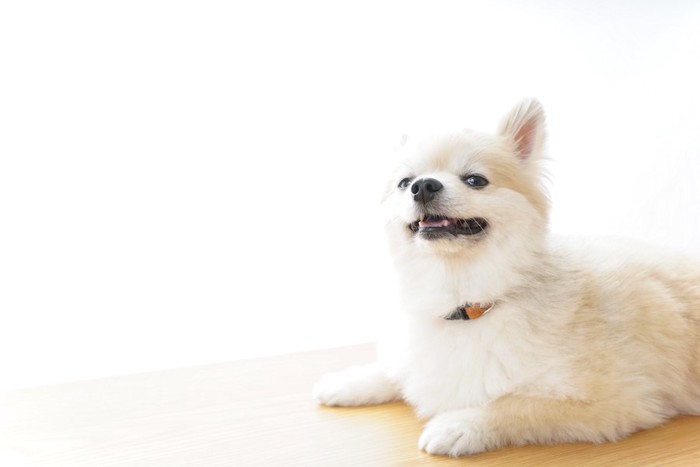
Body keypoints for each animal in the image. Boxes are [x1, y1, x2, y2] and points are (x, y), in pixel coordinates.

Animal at [314, 99, 700, 458]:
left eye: (475, 180)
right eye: (404, 183)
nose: (423, 186)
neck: (466, 301)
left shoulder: (614, 404)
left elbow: (513, 405)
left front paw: (459, 425)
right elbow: (394, 369)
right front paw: (348, 381)